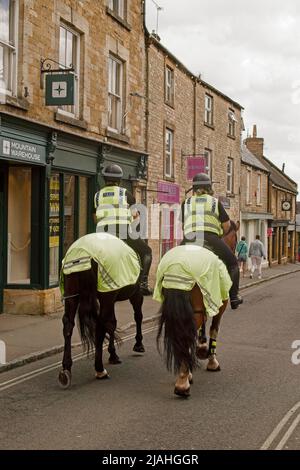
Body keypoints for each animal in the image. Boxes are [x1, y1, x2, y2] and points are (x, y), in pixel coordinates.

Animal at [58, 231, 145, 390]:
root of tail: (84, 256)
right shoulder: (135, 293)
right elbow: (136, 316)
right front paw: (137, 345)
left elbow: (112, 324)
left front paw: (113, 354)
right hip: (107, 294)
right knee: (100, 325)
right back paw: (99, 369)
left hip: (71, 295)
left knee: (68, 324)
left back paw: (66, 369)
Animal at [157, 220, 239, 396]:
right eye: (236, 238)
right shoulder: (220, 304)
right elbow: (214, 329)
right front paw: (212, 360)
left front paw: (201, 347)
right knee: (187, 333)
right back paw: (183, 382)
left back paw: (185, 374)